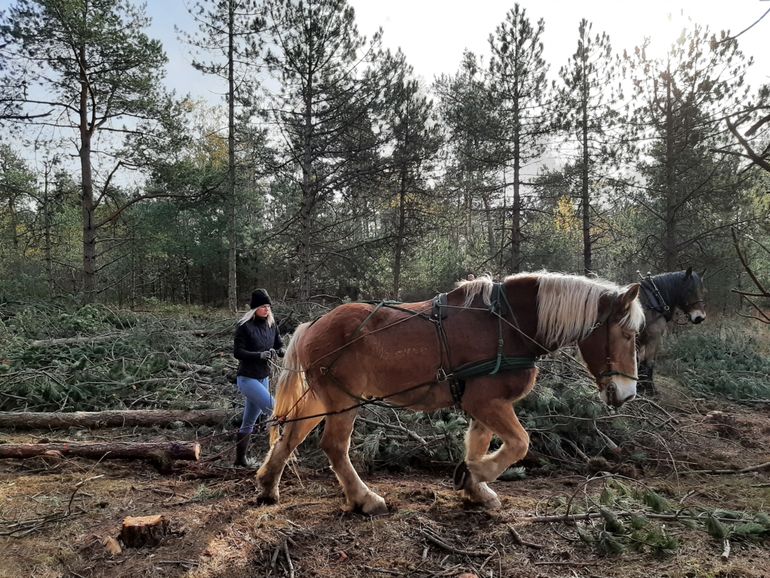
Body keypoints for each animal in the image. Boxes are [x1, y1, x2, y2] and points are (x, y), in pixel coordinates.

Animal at [257, 272, 644, 515]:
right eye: (628, 334)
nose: (628, 393)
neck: (506, 326)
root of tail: (312, 325)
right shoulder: (485, 401)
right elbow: (519, 444)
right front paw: (477, 475)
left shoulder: (485, 403)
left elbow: (479, 443)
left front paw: (476, 487)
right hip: (344, 400)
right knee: (334, 446)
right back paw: (365, 499)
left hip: (321, 398)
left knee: (291, 436)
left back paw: (267, 485)